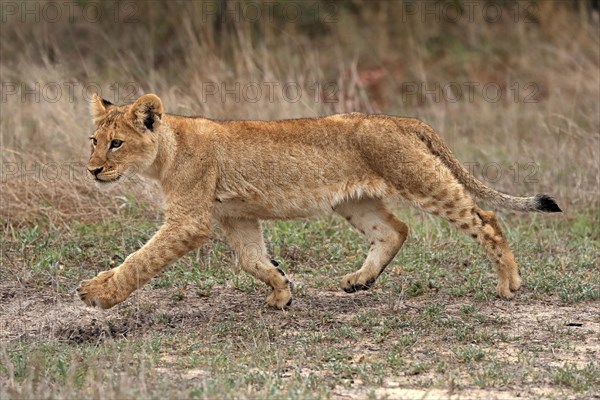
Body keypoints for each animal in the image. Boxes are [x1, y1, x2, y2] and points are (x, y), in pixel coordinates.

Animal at [77, 94, 560, 310]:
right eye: (94, 141)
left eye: (117, 143)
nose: (93, 170)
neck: (167, 150)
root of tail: (401, 119)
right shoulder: (235, 216)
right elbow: (252, 260)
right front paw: (281, 291)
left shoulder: (189, 220)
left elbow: (142, 258)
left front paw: (99, 292)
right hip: (354, 201)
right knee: (395, 229)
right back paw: (359, 280)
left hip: (422, 181)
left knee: (485, 217)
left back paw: (509, 283)